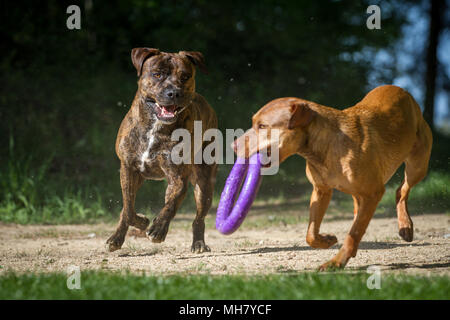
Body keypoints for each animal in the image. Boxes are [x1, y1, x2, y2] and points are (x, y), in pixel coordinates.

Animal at [106, 48, 217, 252]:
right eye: (157, 74)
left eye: (185, 76)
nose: (174, 92)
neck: (155, 126)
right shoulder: (127, 169)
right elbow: (128, 208)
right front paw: (141, 221)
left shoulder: (178, 176)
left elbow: (170, 205)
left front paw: (157, 229)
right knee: (126, 208)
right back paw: (117, 237)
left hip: (204, 183)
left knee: (198, 218)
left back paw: (198, 243)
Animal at [234, 85, 430, 270]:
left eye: (262, 126)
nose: (233, 145)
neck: (322, 149)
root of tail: (403, 91)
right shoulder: (321, 190)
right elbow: (311, 234)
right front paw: (327, 240)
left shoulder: (374, 192)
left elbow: (353, 234)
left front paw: (336, 263)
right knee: (362, 205)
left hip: (417, 165)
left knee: (401, 190)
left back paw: (405, 226)